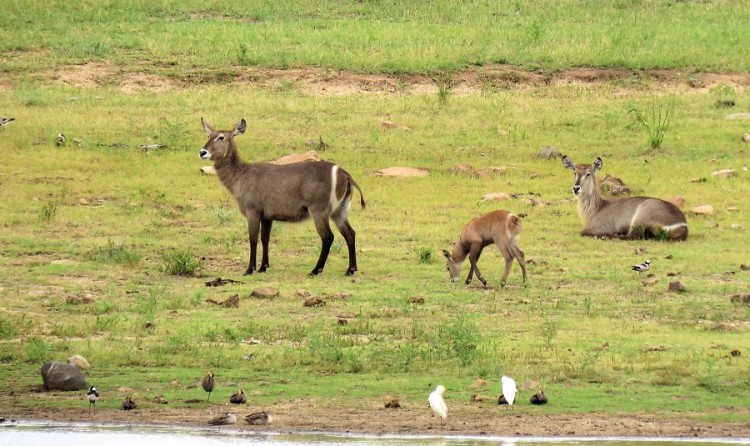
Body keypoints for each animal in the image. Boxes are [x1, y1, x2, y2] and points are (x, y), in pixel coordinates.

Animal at [198, 117, 366, 278]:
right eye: (208, 135)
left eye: (221, 137)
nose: (202, 152)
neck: (241, 175)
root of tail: (344, 174)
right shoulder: (267, 216)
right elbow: (265, 238)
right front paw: (263, 267)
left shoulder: (253, 211)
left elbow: (253, 239)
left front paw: (249, 269)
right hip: (339, 211)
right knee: (350, 234)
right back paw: (350, 270)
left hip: (319, 211)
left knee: (328, 237)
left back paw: (315, 271)